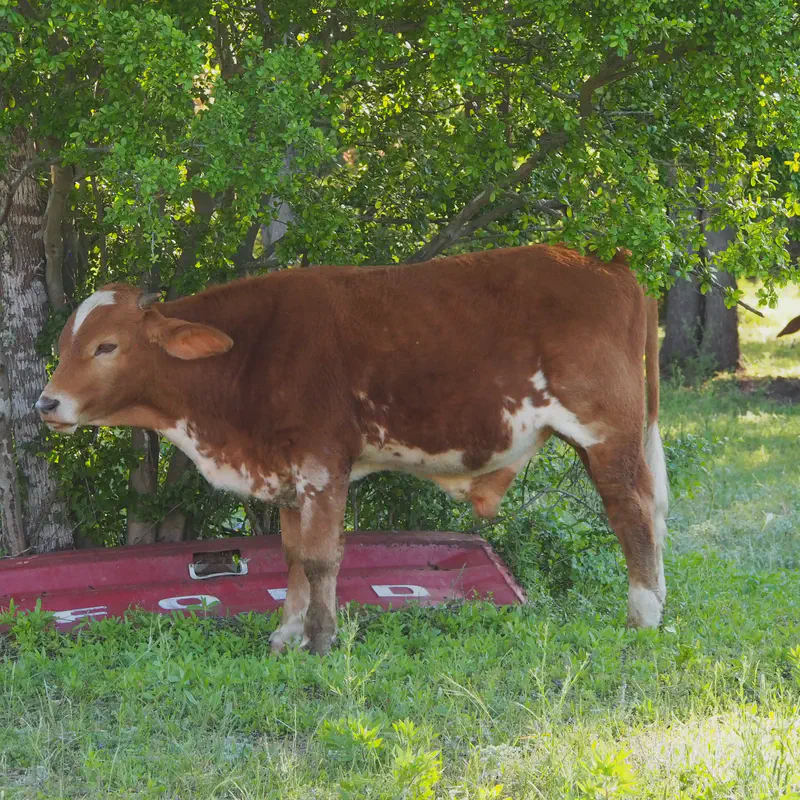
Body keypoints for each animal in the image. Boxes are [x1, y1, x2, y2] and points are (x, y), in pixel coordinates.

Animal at [36, 244, 669, 655]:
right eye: (65, 343)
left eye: (106, 346)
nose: (46, 403)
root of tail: (609, 264)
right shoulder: (289, 476)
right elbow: (292, 557)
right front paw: (287, 634)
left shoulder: (322, 466)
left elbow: (321, 559)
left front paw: (322, 639)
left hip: (606, 435)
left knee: (632, 515)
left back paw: (643, 615)